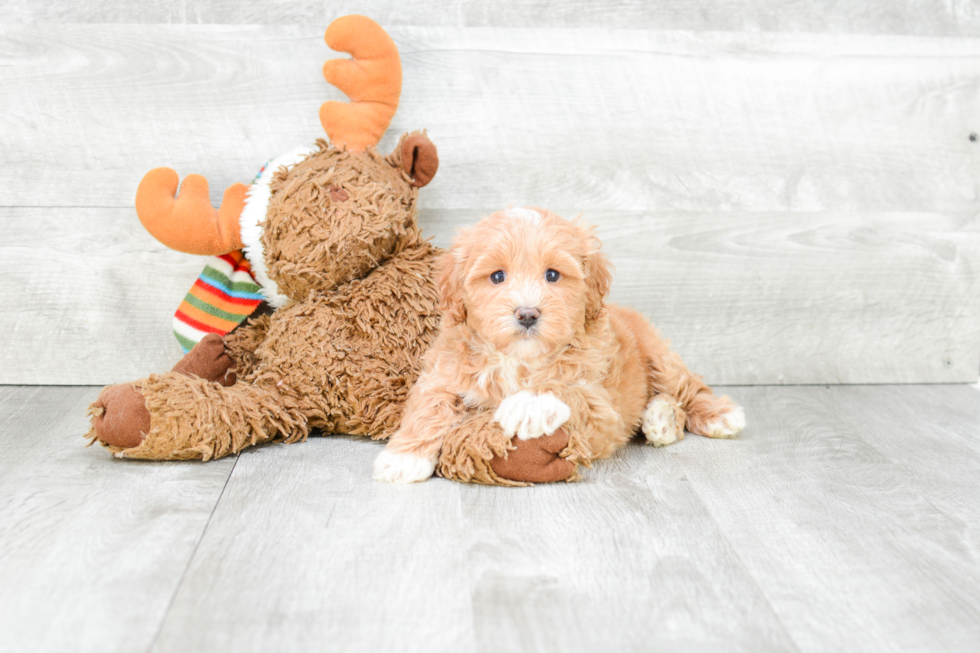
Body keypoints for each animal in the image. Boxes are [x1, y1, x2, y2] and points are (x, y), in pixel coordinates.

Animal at [374, 206, 744, 482]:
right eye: (497, 276)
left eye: (552, 275)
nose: (527, 314)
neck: (518, 360)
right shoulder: (443, 371)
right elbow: (429, 405)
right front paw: (404, 457)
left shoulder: (601, 409)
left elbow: (565, 387)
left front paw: (529, 402)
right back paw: (661, 418)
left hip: (658, 355)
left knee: (689, 389)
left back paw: (708, 416)